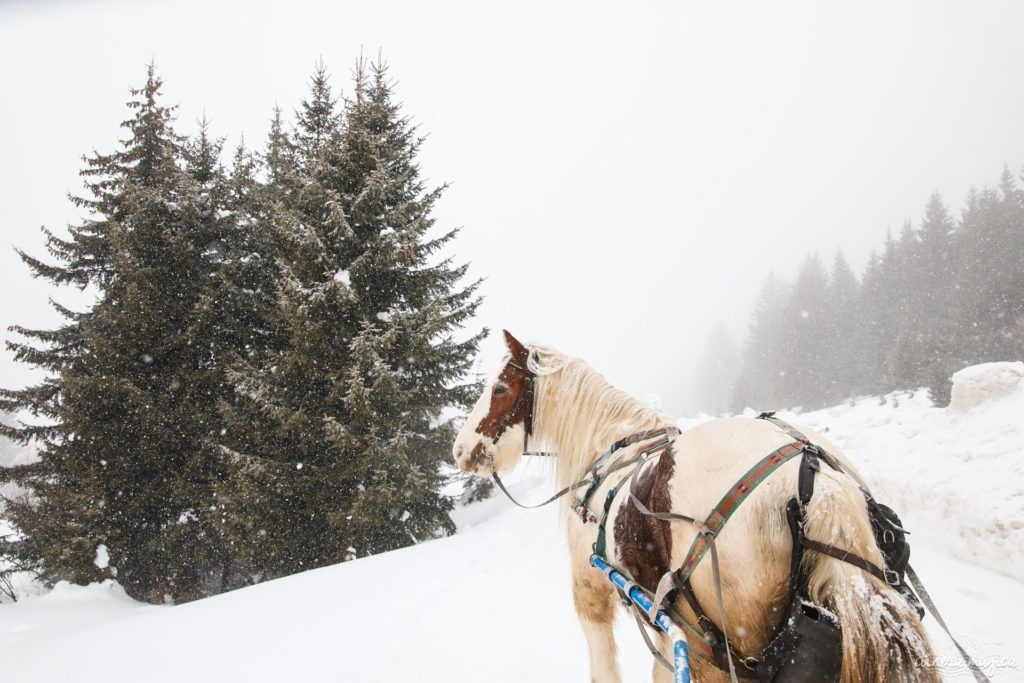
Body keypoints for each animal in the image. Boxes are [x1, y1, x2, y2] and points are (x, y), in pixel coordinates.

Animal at [452, 333, 937, 683]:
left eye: (499, 387)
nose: (459, 449)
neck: (612, 448)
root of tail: (813, 479)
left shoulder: (591, 590)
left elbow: (603, 660)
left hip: (716, 644)